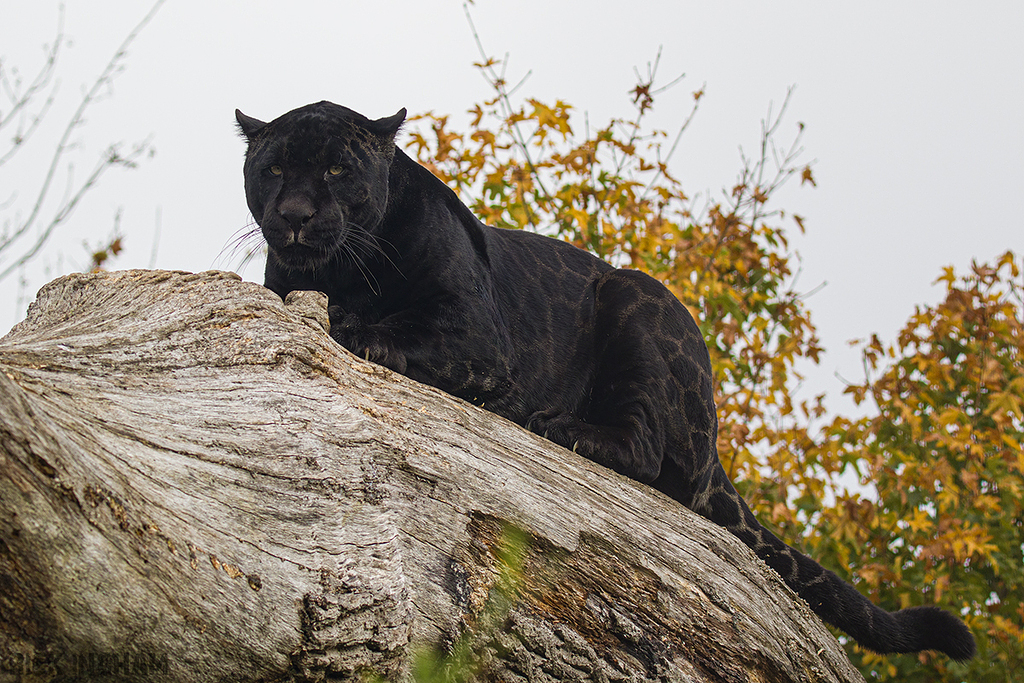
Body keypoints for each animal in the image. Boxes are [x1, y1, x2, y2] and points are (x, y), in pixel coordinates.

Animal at [236, 101, 975, 661]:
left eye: (337, 168)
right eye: (273, 169)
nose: (295, 214)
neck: (338, 273)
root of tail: (717, 448)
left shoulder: (475, 334)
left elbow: (392, 330)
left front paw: (359, 328)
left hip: (637, 299)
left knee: (650, 456)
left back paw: (558, 426)